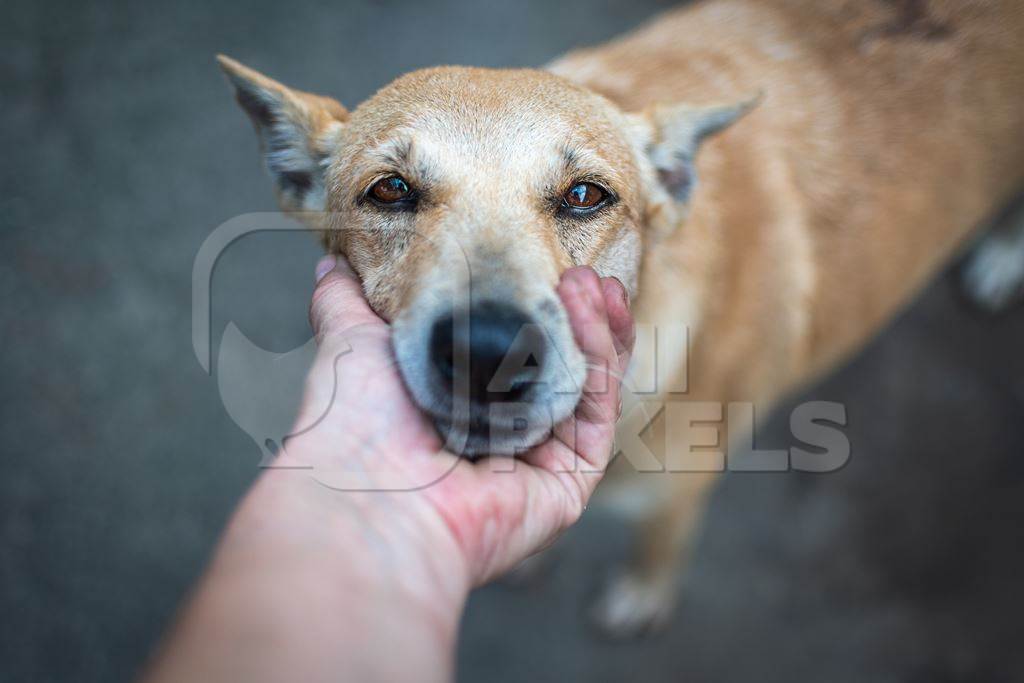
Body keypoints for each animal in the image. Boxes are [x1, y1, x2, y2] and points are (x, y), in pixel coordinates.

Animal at [216, 0, 1024, 638]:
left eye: (584, 196)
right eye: (390, 190)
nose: (488, 354)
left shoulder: (681, 493)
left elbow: (658, 550)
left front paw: (641, 595)